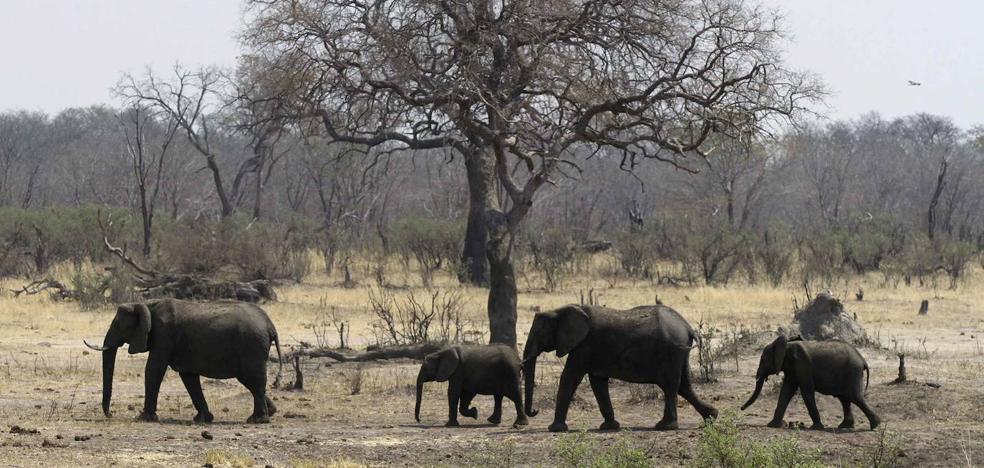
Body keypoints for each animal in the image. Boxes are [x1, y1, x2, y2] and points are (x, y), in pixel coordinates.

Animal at [84, 300, 280, 424]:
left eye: (117, 325)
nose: (110, 415)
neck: (146, 304)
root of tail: (270, 325)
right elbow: (188, 377)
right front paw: (203, 419)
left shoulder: (164, 335)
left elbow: (154, 369)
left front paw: (144, 418)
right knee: (251, 382)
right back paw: (269, 413)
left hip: (252, 347)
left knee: (254, 380)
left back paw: (258, 420)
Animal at [524, 304, 716, 432]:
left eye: (538, 333)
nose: (535, 411)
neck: (559, 310)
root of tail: (688, 327)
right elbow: (597, 382)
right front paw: (609, 427)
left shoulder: (585, 345)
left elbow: (570, 377)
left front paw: (555, 429)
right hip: (679, 352)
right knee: (684, 386)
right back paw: (711, 417)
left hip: (670, 351)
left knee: (670, 386)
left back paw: (665, 426)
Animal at [740, 334, 880, 430]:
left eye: (764, 360)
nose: (741, 408)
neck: (787, 345)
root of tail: (862, 360)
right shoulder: (793, 368)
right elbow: (786, 391)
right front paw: (773, 425)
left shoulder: (803, 365)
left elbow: (806, 392)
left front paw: (816, 427)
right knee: (845, 399)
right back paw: (845, 426)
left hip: (852, 371)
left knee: (856, 398)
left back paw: (875, 425)